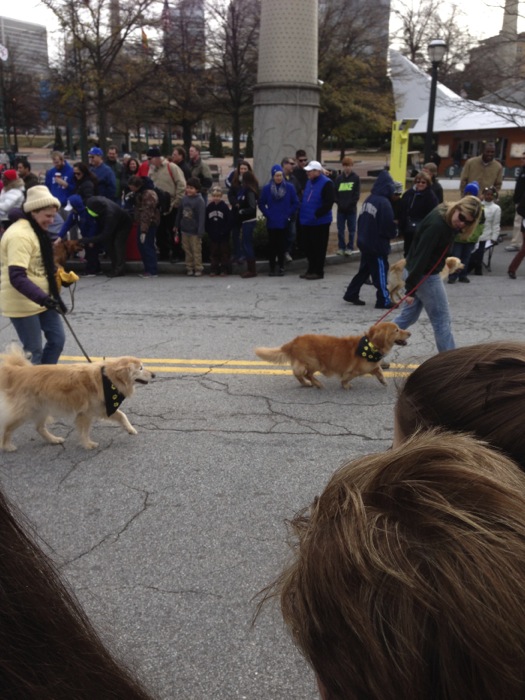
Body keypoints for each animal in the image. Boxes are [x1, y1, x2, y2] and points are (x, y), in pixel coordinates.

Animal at [0, 346, 155, 454]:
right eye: (141, 368)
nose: (154, 374)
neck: (109, 378)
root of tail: (17, 372)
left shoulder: (102, 407)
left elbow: (122, 415)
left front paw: (130, 429)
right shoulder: (87, 413)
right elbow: (84, 431)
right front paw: (88, 444)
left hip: (42, 409)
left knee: (39, 428)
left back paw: (54, 439)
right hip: (25, 412)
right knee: (7, 428)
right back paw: (7, 446)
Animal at [254, 322, 410, 388]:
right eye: (397, 330)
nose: (410, 333)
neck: (370, 345)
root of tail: (293, 342)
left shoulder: (371, 366)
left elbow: (379, 370)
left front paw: (383, 381)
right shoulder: (353, 370)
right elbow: (347, 378)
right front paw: (345, 385)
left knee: (298, 374)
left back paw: (307, 384)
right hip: (315, 362)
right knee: (306, 374)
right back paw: (316, 383)